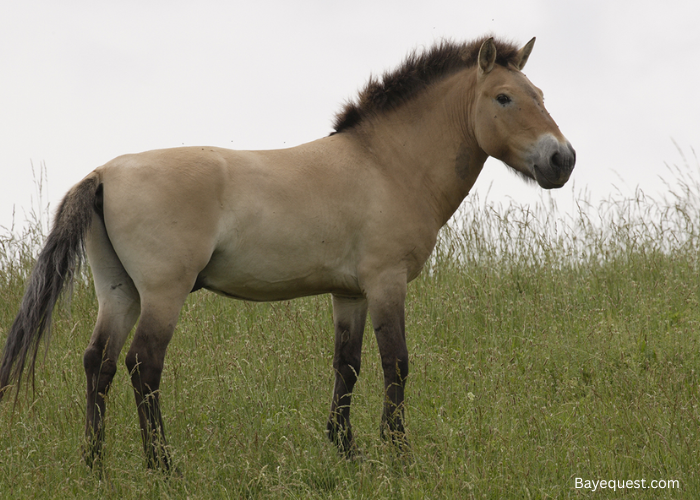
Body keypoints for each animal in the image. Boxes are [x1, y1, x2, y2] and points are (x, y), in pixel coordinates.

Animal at [0, 36, 575, 469]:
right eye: (504, 98)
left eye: (540, 92)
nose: (561, 159)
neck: (385, 164)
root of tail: (104, 174)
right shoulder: (385, 282)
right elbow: (396, 364)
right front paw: (397, 454)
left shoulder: (350, 294)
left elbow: (348, 366)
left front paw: (346, 449)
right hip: (163, 294)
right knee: (143, 365)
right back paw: (161, 464)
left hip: (120, 292)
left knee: (98, 363)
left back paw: (94, 463)